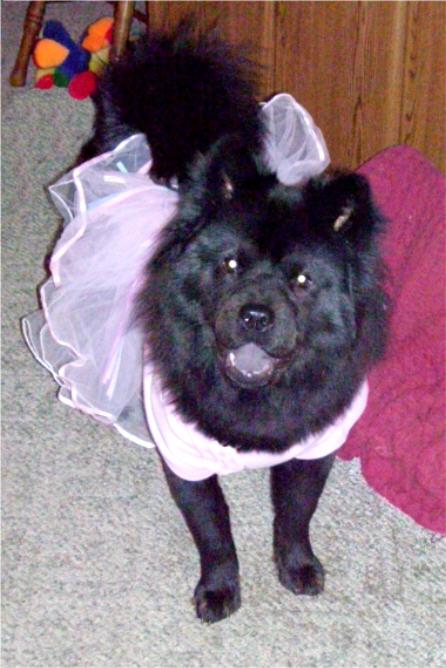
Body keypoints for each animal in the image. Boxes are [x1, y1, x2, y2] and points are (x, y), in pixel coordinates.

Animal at [83, 20, 387, 623]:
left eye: (301, 281)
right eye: (230, 265)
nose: (254, 314)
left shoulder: (314, 451)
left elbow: (295, 515)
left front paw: (297, 568)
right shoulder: (185, 461)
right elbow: (215, 532)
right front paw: (220, 589)